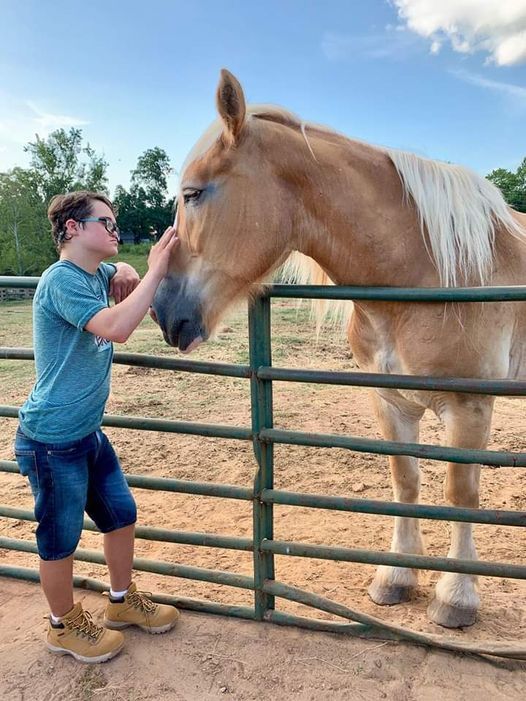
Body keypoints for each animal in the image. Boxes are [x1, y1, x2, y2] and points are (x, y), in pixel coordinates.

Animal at [152, 69, 526, 629]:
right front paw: (397, 577)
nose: (161, 310)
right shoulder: (390, 403)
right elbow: (406, 484)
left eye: (193, 193)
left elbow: (459, 495)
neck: (430, 272)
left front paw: (457, 598)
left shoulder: (469, 408)